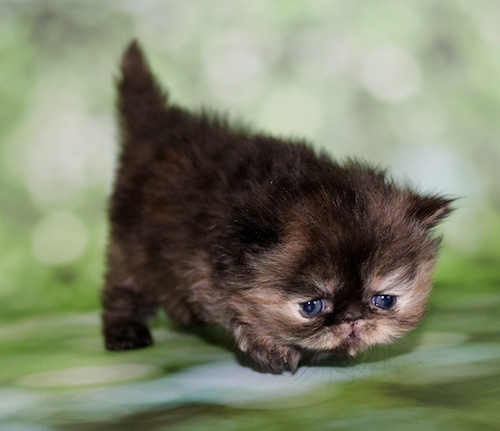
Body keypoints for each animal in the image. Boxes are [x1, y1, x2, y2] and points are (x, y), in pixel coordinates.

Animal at [101, 41, 454, 374]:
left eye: (384, 300)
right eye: (311, 306)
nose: (353, 318)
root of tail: (158, 126)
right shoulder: (200, 269)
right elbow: (234, 309)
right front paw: (268, 345)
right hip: (133, 246)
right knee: (122, 287)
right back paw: (125, 332)